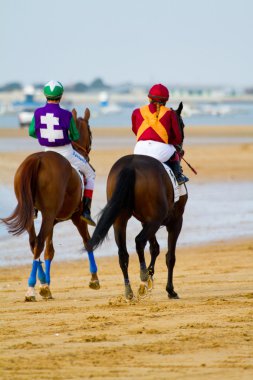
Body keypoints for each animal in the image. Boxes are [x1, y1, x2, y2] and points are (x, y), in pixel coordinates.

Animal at [1, 108, 100, 302]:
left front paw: (46, 284)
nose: (88, 152)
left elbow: (49, 251)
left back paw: (38, 283)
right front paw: (94, 279)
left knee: (34, 242)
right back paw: (31, 288)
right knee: (38, 242)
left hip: (32, 214)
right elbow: (87, 242)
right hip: (49, 214)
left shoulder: (53, 221)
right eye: (90, 132)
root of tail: (39, 159)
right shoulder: (76, 218)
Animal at [88, 104, 187, 300]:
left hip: (120, 220)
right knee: (139, 241)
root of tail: (130, 167)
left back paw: (130, 290)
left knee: (123, 254)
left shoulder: (145, 220)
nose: (181, 149)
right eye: (182, 124)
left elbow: (155, 248)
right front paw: (169, 289)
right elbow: (169, 256)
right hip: (155, 220)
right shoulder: (175, 221)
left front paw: (148, 280)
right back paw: (142, 275)